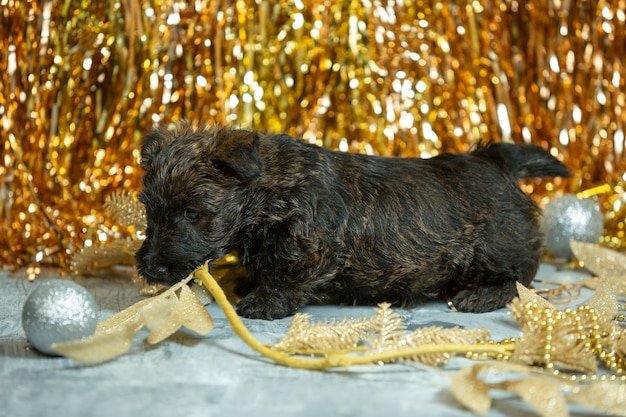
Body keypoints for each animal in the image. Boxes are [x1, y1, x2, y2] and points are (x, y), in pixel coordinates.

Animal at [134, 122, 568, 316]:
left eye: (192, 212)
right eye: (149, 210)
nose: (150, 268)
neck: (269, 187)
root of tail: (496, 161)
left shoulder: (308, 248)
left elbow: (284, 277)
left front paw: (262, 302)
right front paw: (247, 279)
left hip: (495, 249)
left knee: (522, 277)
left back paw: (480, 296)